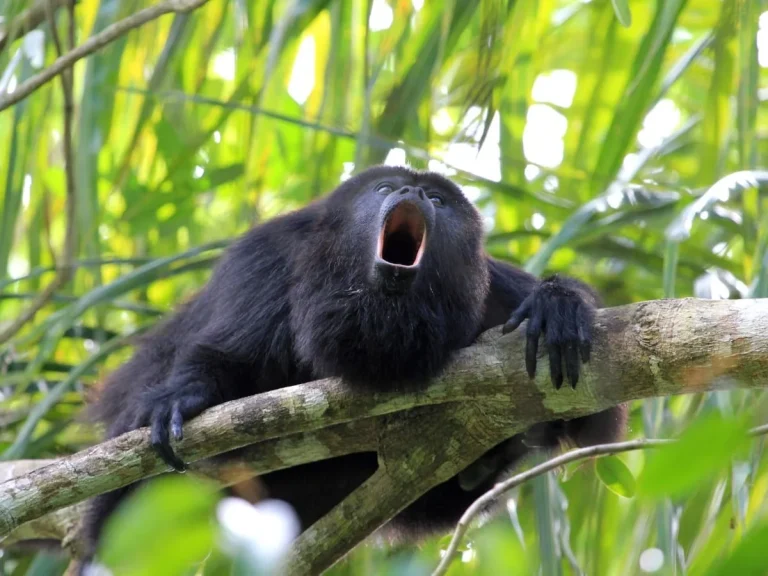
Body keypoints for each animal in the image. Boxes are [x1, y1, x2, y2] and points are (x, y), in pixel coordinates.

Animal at [81, 165, 627, 561]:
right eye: (385, 187)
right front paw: (185, 396)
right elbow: (224, 354)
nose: (412, 189)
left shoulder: (494, 291)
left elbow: (594, 414)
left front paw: (557, 304)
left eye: (438, 200)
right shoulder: (266, 258)